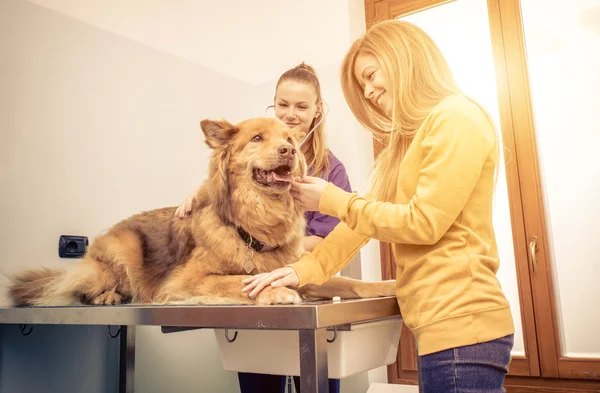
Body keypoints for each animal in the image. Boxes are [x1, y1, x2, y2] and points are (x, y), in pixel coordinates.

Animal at [9, 116, 396, 306]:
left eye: (288, 138)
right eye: (258, 138)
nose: (288, 150)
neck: (256, 223)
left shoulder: (297, 268)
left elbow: (349, 282)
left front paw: (386, 285)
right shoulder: (187, 281)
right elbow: (240, 281)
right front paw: (272, 291)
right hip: (123, 250)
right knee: (81, 287)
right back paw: (108, 296)